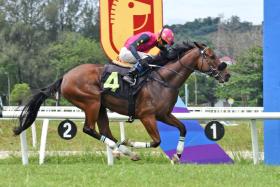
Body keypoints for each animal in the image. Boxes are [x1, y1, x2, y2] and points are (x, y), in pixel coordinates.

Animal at [12, 42, 230, 164]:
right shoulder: (147, 116)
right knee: (89, 129)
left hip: (101, 107)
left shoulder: (164, 114)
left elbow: (183, 128)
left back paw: (121, 151)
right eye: (211, 56)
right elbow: (157, 141)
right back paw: (123, 149)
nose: (226, 73)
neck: (164, 80)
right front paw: (131, 142)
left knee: (105, 131)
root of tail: (65, 76)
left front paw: (177, 156)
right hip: (91, 102)